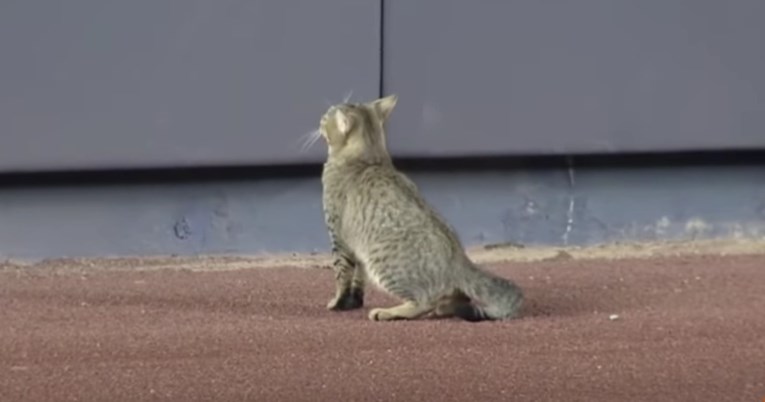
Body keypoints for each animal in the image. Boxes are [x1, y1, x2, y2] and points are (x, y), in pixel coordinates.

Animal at [310, 93, 520, 320]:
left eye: (326, 117)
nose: (319, 119)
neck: (370, 157)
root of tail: (460, 260)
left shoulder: (339, 238)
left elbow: (341, 275)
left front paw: (338, 302)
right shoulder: (357, 248)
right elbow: (359, 277)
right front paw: (354, 301)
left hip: (383, 263)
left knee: (422, 302)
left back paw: (388, 312)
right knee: (456, 297)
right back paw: (442, 309)